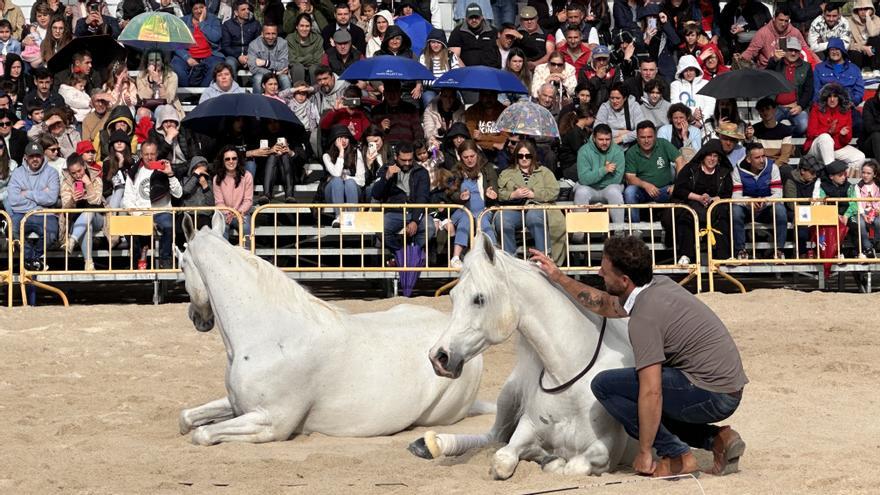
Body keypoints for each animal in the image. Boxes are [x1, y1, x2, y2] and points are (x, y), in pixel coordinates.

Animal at [175, 213, 492, 446]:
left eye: (181, 264)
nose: (196, 318)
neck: (267, 335)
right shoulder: (238, 405)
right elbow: (187, 418)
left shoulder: (271, 421)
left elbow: (202, 433)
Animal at [410, 236, 636, 480]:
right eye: (452, 296)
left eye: (479, 299)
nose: (439, 357)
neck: (570, 374)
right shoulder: (527, 428)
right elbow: (503, 458)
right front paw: (546, 457)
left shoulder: (608, 449)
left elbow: (574, 466)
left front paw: (552, 460)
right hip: (509, 395)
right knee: (493, 436)